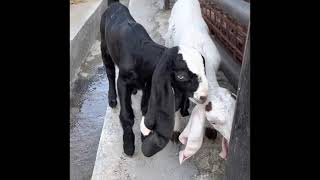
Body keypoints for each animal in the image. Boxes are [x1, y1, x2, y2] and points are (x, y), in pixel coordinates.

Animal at [101, 2, 209, 158]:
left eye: (204, 71)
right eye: (181, 76)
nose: (204, 96)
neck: (142, 55)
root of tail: (115, 4)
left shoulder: (149, 84)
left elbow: (146, 108)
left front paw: (144, 137)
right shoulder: (123, 81)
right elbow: (127, 115)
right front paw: (128, 146)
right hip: (104, 48)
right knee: (109, 73)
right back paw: (112, 99)